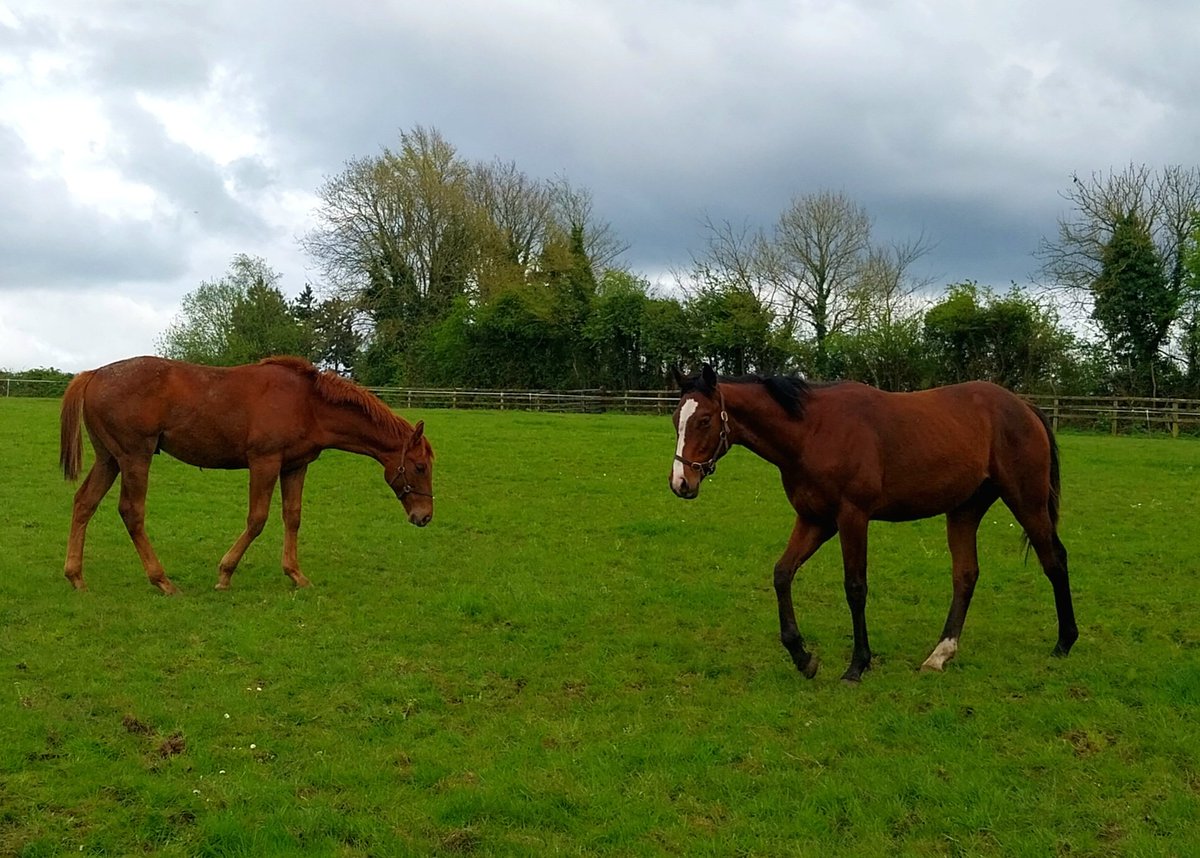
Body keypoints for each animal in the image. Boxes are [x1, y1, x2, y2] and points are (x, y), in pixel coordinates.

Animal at [59, 352, 436, 595]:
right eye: (420, 466)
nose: (425, 516)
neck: (308, 403)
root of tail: (93, 373)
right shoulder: (264, 463)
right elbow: (257, 519)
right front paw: (225, 574)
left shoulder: (294, 466)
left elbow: (292, 517)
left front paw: (296, 574)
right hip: (135, 458)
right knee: (131, 513)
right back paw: (162, 580)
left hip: (109, 460)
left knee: (84, 504)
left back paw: (76, 576)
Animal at [667, 364, 1080, 686]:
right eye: (676, 420)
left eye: (704, 420)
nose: (681, 483)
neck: (813, 431)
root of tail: (1023, 406)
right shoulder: (815, 520)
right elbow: (782, 574)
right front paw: (803, 657)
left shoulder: (852, 517)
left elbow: (855, 588)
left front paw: (857, 665)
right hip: (964, 510)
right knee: (966, 574)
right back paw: (941, 654)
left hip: (1026, 501)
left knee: (1054, 560)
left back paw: (1064, 643)